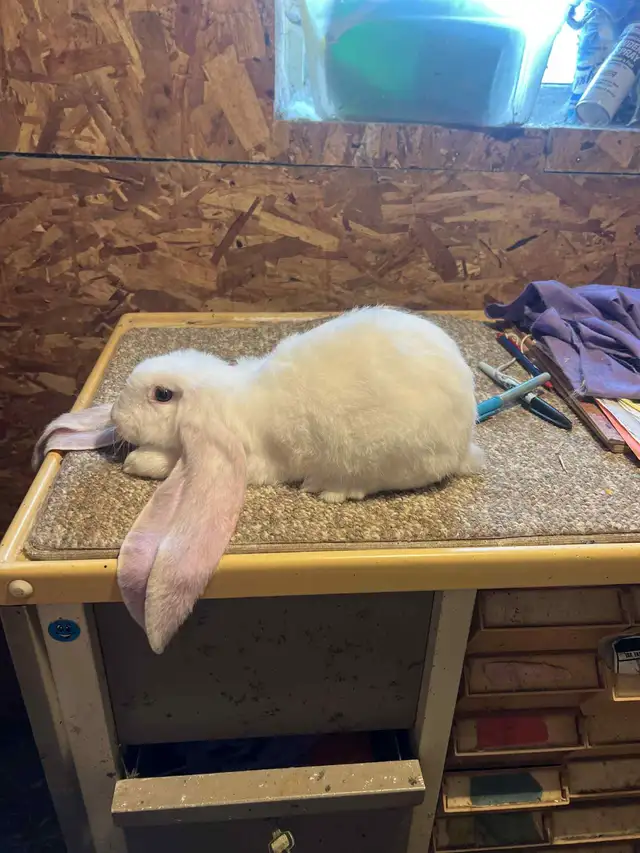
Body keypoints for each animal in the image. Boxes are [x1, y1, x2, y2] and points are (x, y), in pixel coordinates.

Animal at [36, 307, 483, 653]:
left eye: (162, 395)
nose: (115, 417)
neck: (230, 402)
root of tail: (463, 443)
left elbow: (167, 461)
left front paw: (137, 461)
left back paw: (329, 488)